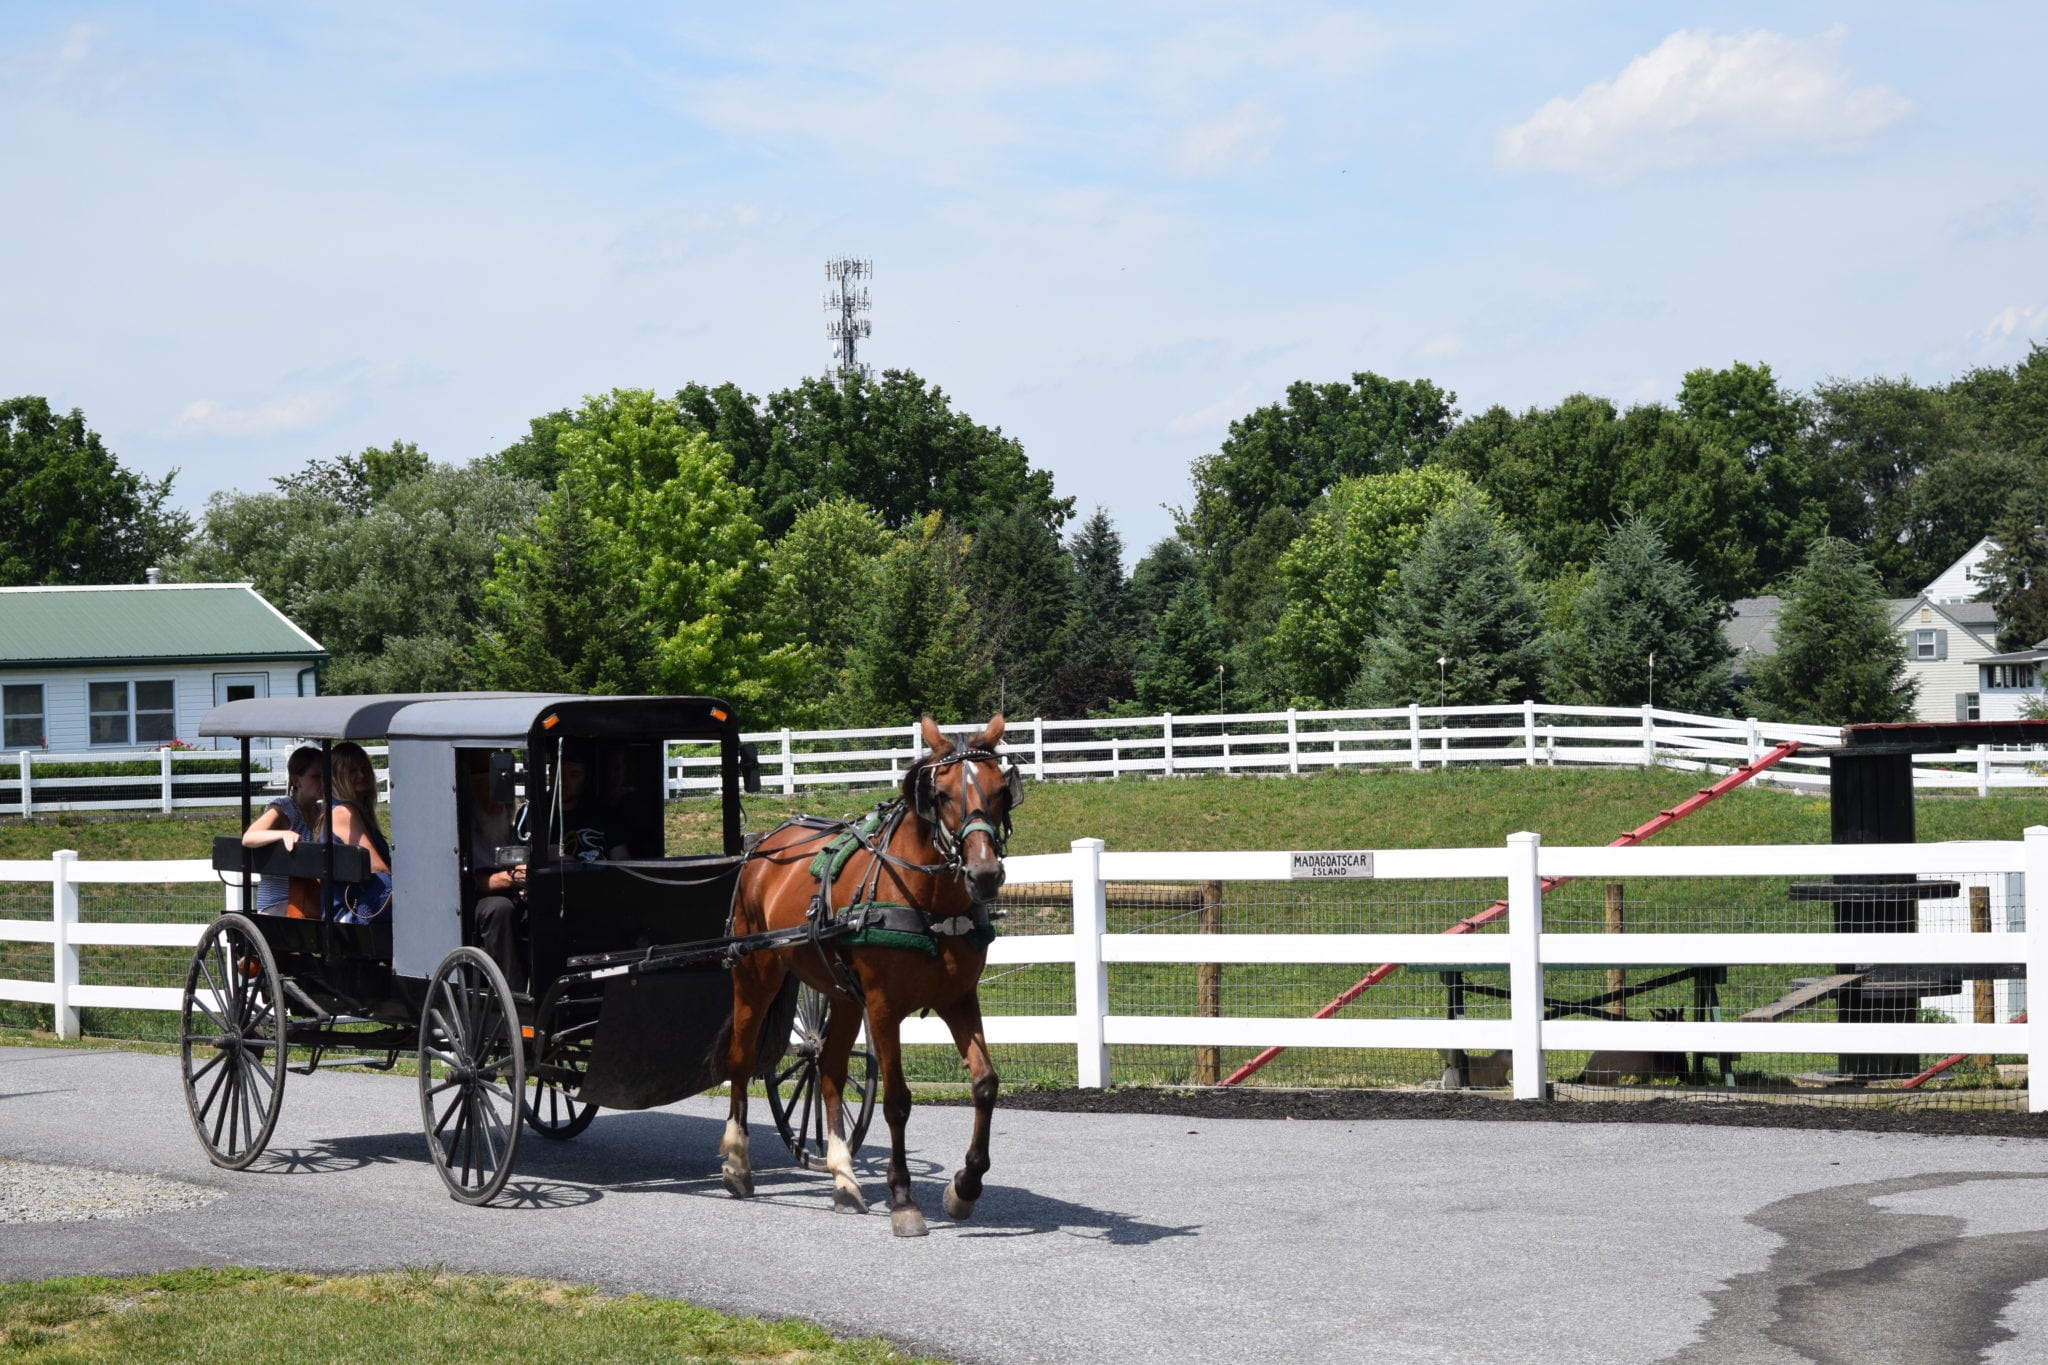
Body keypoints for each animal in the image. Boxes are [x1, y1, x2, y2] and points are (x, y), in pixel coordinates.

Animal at [720, 716, 1024, 1236]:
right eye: (941, 794)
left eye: (1002, 790)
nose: (984, 874)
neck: (930, 903)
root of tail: (762, 845)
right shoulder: (883, 1007)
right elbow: (898, 1100)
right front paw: (903, 1198)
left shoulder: (959, 998)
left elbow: (985, 1083)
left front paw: (965, 1187)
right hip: (754, 974)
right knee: (741, 1059)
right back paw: (738, 1163)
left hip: (840, 994)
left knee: (829, 1069)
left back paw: (844, 1178)